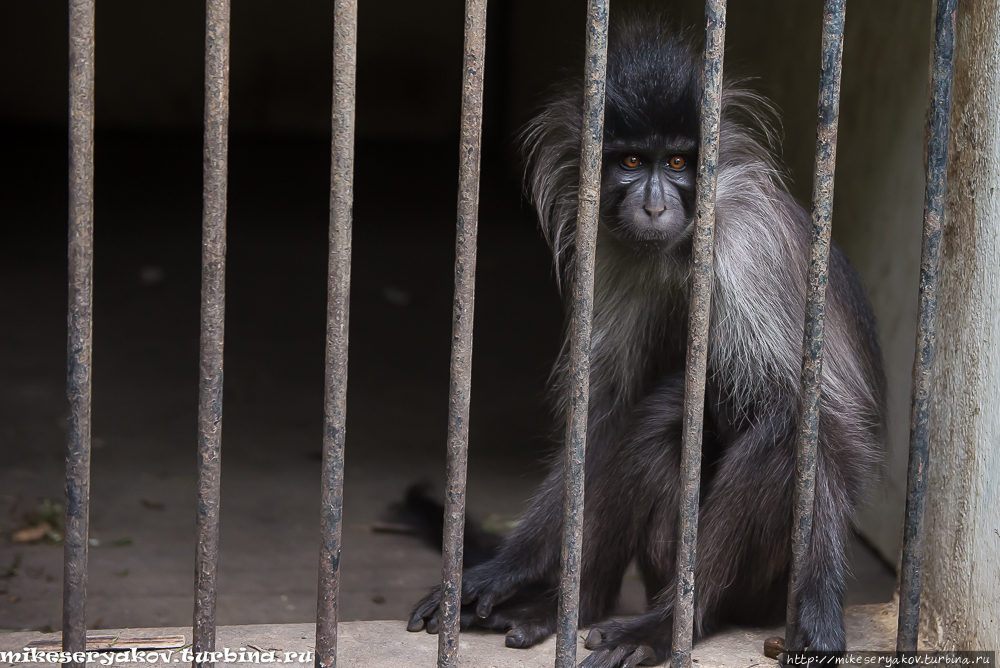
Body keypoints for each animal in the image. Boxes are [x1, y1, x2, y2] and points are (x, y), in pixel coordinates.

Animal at [406, 14, 884, 668]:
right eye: (632, 161)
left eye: (680, 163)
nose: (654, 205)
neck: (679, 249)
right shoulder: (617, 256)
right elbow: (602, 412)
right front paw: (509, 568)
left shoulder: (745, 245)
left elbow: (826, 424)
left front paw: (820, 608)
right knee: (652, 418)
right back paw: (569, 604)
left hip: (761, 589)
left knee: (778, 431)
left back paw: (668, 625)